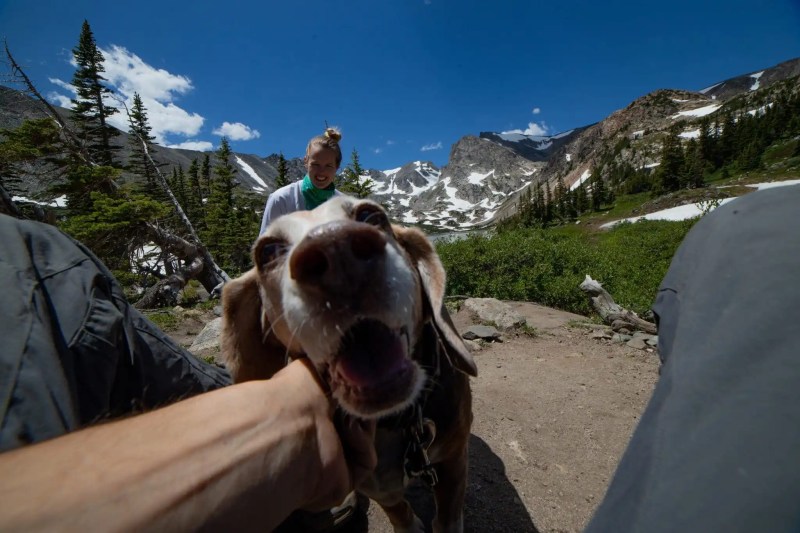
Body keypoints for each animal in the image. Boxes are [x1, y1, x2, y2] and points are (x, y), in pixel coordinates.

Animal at [222, 196, 476, 532]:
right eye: (268, 251)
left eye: (371, 215)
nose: (336, 250)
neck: (392, 422)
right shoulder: (374, 484)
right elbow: (398, 510)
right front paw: (409, 525)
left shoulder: (454, 462)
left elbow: (448, 517)